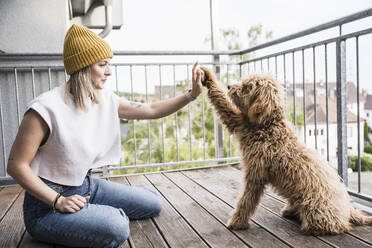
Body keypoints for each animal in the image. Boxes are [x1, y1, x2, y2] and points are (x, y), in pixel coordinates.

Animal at [201, 65, 372, 234]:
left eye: (247, 88)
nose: (229, 86)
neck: (267, 125)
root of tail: (349, 210)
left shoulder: (256, 174)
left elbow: (246, 201)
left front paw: (237, 222)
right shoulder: (239, 122)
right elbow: (223, 104)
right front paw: (207, 76)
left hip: (314, 207)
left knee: (338, 226)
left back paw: (312, 226)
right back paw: (291, 210)